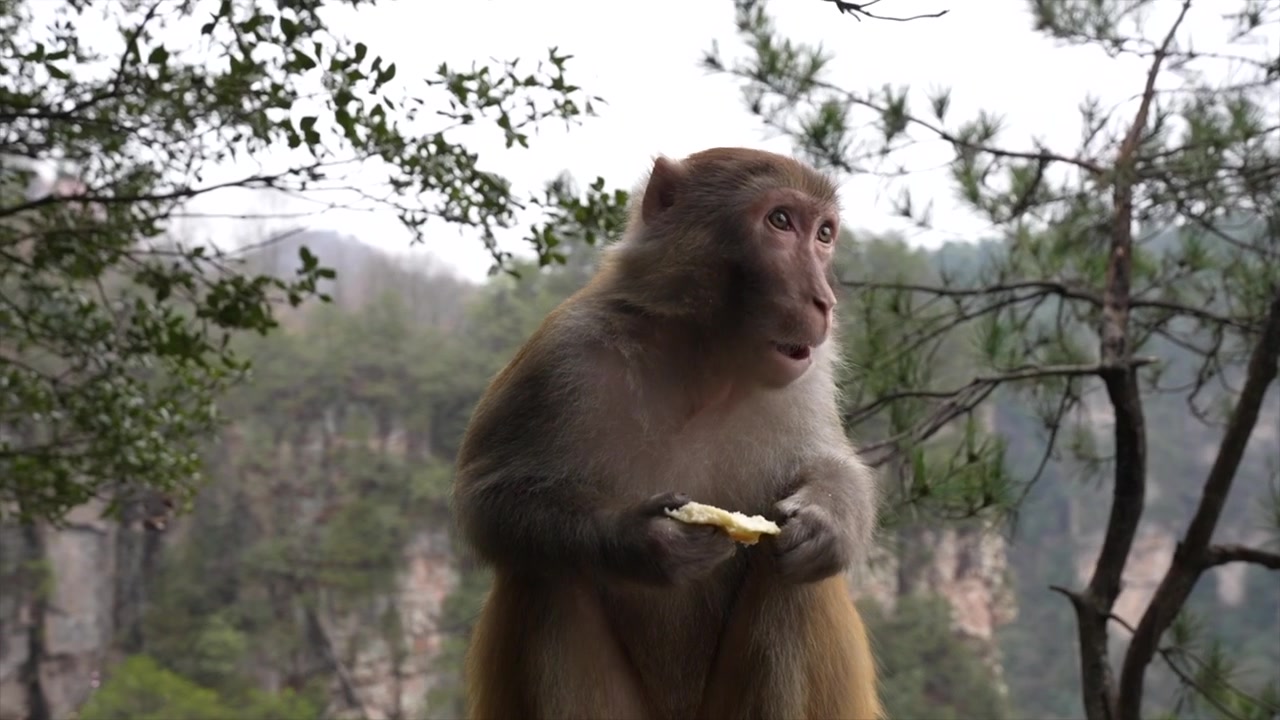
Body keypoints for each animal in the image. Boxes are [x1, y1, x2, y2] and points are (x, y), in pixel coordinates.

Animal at [452, 147, 882, 720]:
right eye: (780, 221)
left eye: (825, 234)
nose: (824, 301)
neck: (705, 364)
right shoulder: (562, 350)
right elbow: (487, 498)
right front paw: (644, 542)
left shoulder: (810, 375)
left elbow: (830, 464)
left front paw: (826, 521)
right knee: (545, 570)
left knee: (792, 578)